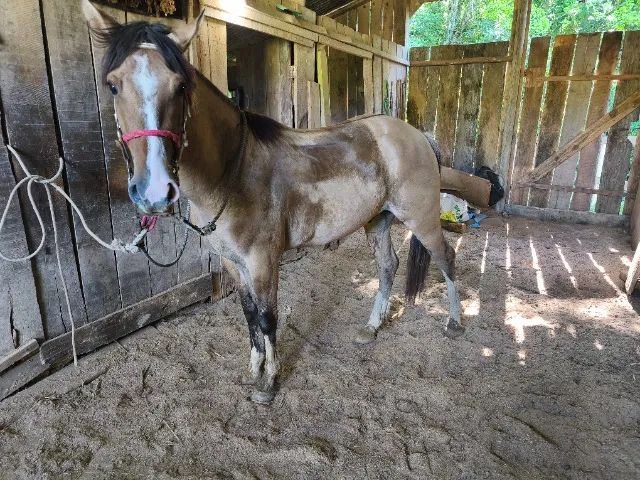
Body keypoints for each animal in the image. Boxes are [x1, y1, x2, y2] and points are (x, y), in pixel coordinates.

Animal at [82, 0, 464, 404]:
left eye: (180, 85)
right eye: (113, 84)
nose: (154, 191)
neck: (232, 174)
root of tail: (417, 135)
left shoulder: (263, 261)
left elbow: (268, 317)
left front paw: (268, 383)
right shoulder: (233, 264)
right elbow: (249, 314)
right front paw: (253, 371)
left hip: (421, 218)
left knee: (445, 258)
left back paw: (454, 323)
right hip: (377, 219)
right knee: (388, 266)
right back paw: (371, 328)